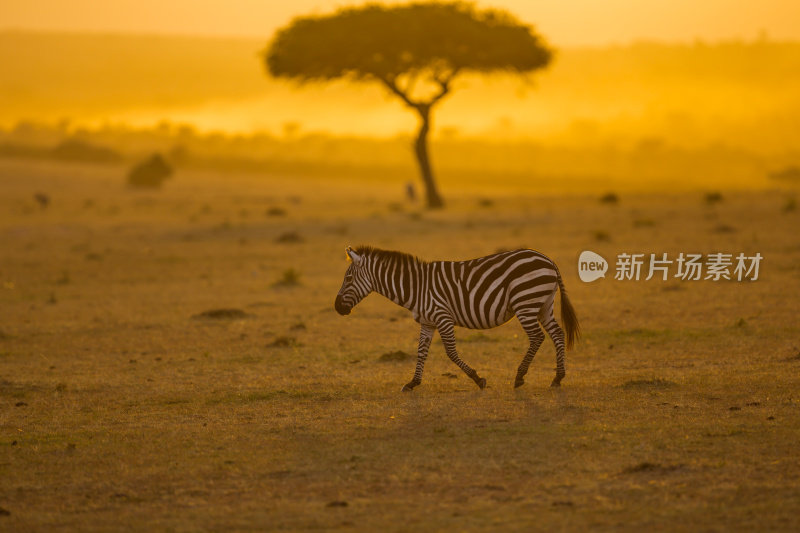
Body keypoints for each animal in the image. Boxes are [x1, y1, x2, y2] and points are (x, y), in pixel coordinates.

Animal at [334, 246, 580, 390]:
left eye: (348, 279)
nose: (337, 308)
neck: (417, 288)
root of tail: (548, 260)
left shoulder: (442, 316)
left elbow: (451, 352)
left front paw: (477, 378)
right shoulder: (428, 321)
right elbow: (421, 352)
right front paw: (413, 382)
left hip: (526, 303)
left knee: (537, 337)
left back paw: (520, 376)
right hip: (543, 304)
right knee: (557, 334)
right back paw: (558, 378)